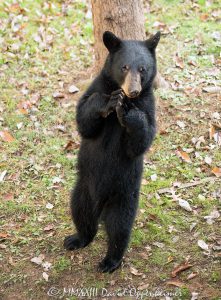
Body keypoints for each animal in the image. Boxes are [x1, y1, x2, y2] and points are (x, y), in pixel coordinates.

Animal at [64, 30, 161, 272]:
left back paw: (110, 261)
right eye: (124, 67)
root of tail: (101, 206)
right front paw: (110, 101)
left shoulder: (149, 106)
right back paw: (76, 239)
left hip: (124, 195)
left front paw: (128, 113)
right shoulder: (96, 87)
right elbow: (84, 120)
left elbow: (141, 140)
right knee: (81, 213)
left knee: (119, 228)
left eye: (142, 69)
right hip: (83, 190)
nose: (133, 91)